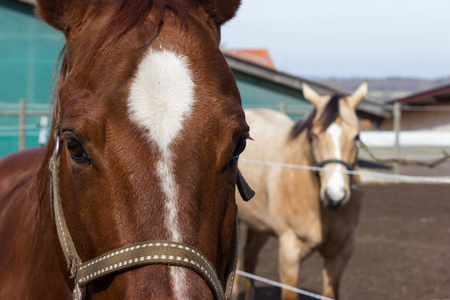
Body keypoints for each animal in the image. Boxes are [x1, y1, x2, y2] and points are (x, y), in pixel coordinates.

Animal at [234, 82, 368, 300]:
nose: (335, 196)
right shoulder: (290, 252)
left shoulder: (340, 253)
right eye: (314, 136)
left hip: (259, 225)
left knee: (250, 258)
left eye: (357, 137)